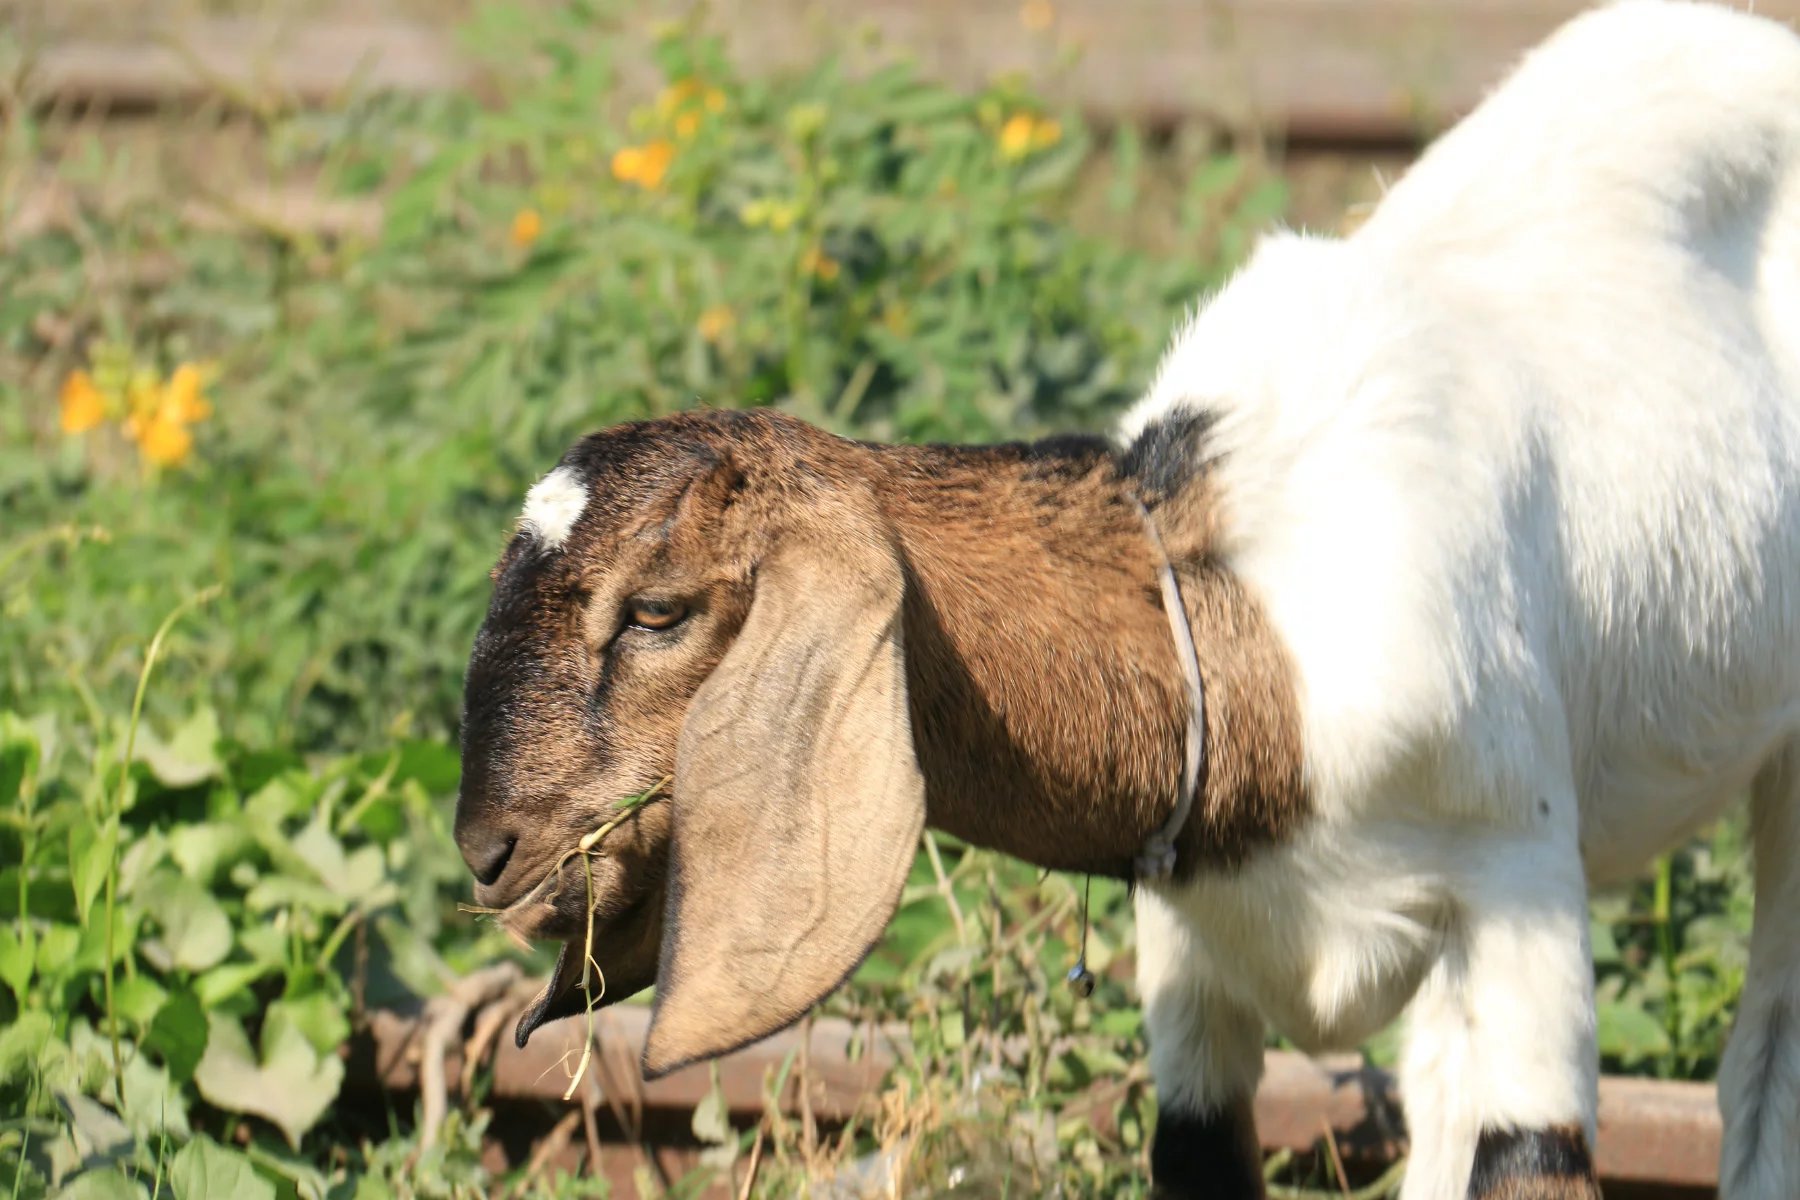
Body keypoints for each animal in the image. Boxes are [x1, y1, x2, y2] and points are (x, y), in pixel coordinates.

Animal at [457, 4, 1800, 1194]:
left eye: (658, 612)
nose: (488, 851)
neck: (1266, 633)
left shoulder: (1522, 882)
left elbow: (1532, 1153)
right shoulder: (1194, 950)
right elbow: (1209, 1149)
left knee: (1761, 1066)